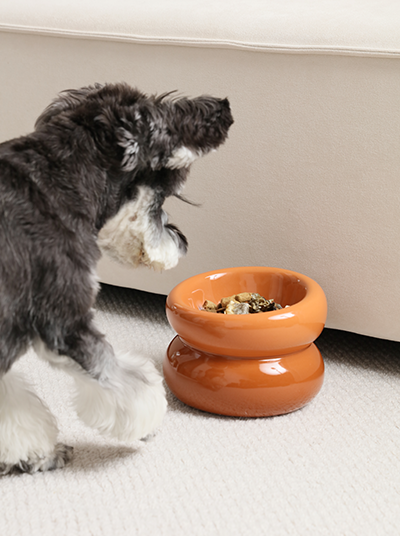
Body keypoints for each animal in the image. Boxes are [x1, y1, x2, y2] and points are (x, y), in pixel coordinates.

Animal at [0, 80, 231, 474]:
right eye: (168, 193)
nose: (182, 244)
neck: (57, 183)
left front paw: (34, 453)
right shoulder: (64, 322)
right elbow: (122, 378)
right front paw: (149, 418)